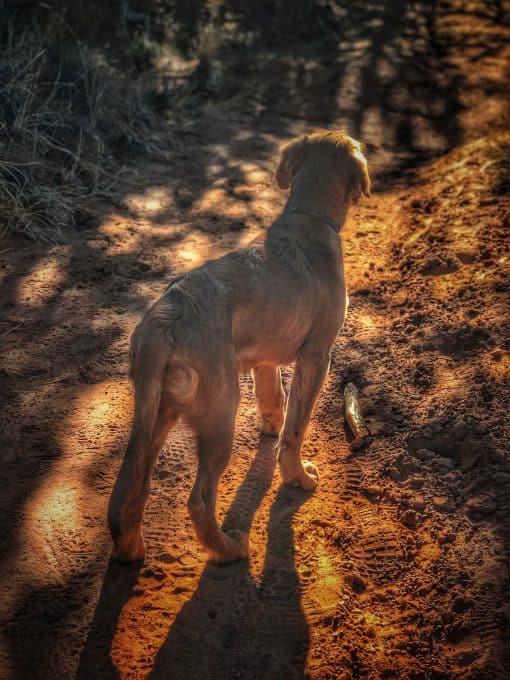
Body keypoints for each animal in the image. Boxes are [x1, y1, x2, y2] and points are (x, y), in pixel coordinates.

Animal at [108, 131, 370, 564]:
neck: (308, 217)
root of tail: (165, 320)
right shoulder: (317, 356)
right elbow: (296, 428)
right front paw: (298, 477)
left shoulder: (265, 358)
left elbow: (274, 400)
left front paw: (270, 429)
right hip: (219, 414)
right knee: (198, 500)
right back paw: (229, 548)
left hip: (158, 412)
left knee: (128, 488)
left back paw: (131, 548)